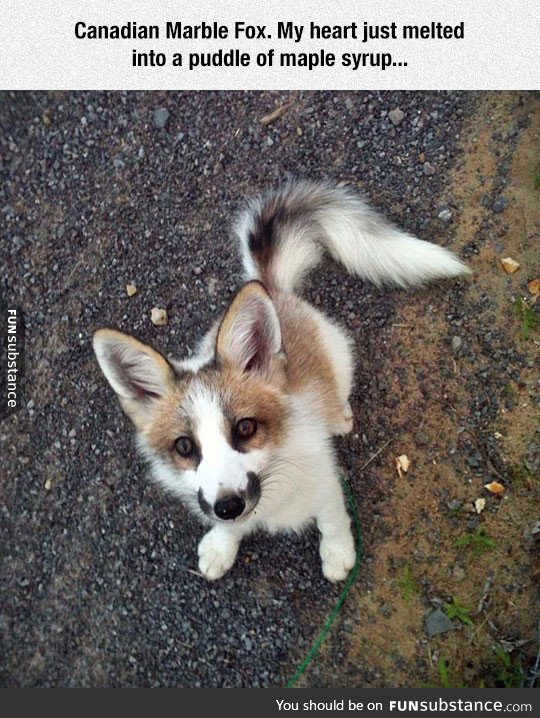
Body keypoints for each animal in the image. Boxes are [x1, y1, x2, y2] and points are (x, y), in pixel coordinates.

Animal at [93, 180, 468, 584]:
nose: (229, 506)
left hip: (339, 354)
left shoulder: (326, 480)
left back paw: (340, 415)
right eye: (184, 446)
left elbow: (334, 520)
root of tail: (270, 288)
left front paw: (337, 553)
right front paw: (222, 544)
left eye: (245, 427)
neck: (276, 472)